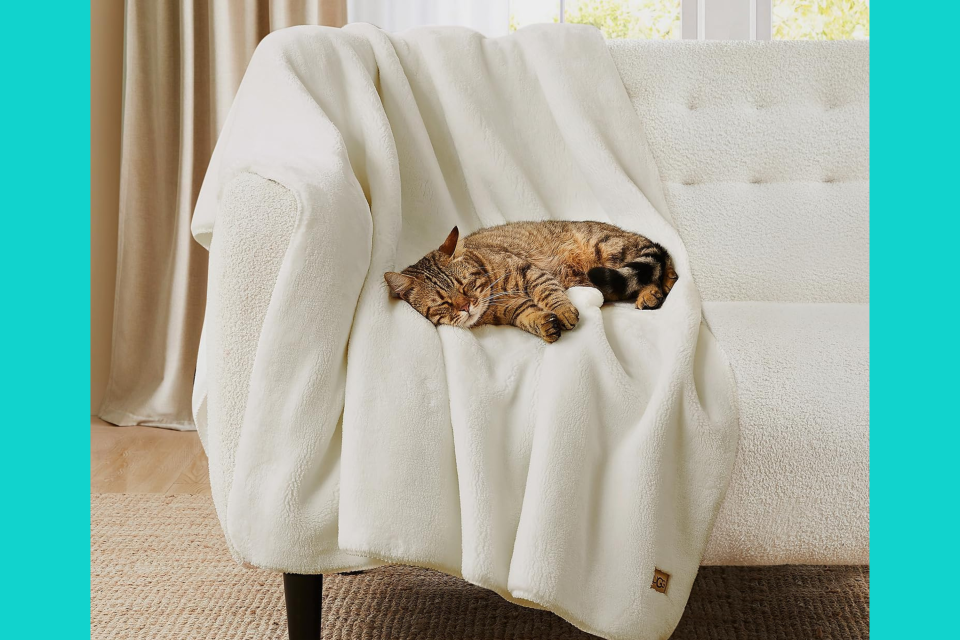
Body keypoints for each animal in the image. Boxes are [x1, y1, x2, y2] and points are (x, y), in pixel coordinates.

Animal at [382, 220, 676, 342]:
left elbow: (548, 292)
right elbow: (525, 312)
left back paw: (657, 288)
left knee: (662, 260)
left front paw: (563, 310)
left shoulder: (529, 271)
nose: (466, 306)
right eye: (443, 302)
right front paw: (543, 324)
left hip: (607, 248)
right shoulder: (506, 310)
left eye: (465, 286)